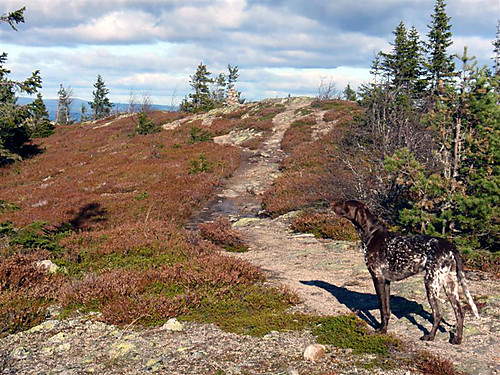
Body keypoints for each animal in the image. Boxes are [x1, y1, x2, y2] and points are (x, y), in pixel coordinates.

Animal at [330, 201, 478, 346]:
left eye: (345, 204)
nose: (331, 204)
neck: (372, 234)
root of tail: (451, 247)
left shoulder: (378, 278)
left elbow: (382, 309)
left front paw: (382, 330)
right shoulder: (386, 282)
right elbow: (387, 309)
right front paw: (384, 328)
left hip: (431, 284)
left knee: (438, 315)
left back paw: (430, 336)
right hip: (449, 286)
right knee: (460, 312)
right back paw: (457, 339)